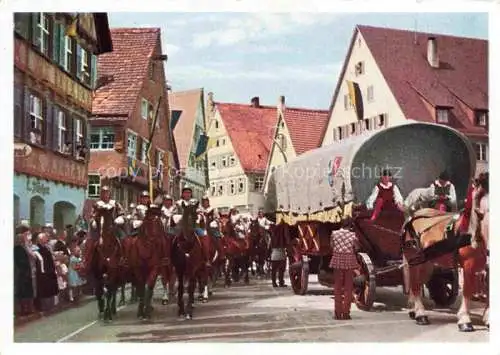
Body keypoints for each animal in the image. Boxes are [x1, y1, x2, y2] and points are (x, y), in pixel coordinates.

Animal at [402, 182, 488, 332]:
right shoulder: (469, 265)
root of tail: (414, 216)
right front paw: (465, 320)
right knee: (414, 285)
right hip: (414, 261)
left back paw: (413, 309)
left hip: (427, 264)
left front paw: (488, 318)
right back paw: (420, 314)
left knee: (418, 282)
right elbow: (468, 291)